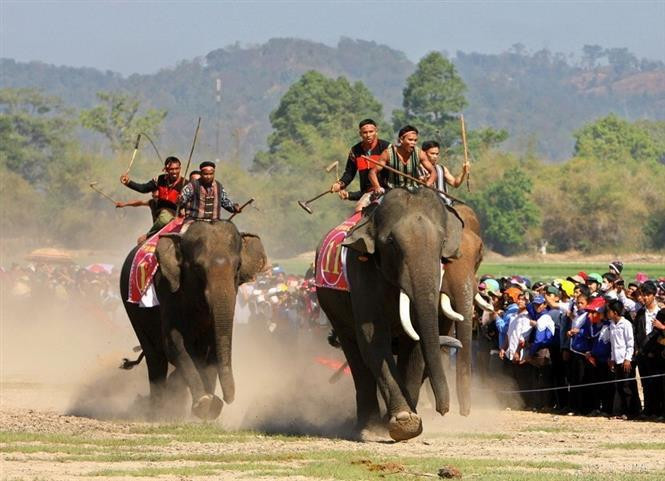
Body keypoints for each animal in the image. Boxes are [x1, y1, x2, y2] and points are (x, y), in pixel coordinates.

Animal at [119, 220, 267, 419]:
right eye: (197, 268)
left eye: (238, 267)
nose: (228, 399)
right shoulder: (168, 289)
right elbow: (174, 343)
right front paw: (203, 403)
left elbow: (212, 348)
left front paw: (210, 408)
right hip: (132, 309)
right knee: (155, 357)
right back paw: (158, 412)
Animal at [316, 187, 465, 441]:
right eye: (392, 243)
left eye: (442, 242)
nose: (443, 410)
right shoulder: (361, 272)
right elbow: (373, 338)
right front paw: (405, 421)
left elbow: (416, 342)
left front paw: (409, 419)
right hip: (330, 305)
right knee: (355, 354)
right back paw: (367, 428)